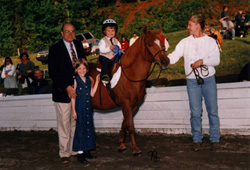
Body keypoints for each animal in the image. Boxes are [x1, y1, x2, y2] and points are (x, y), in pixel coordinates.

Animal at [90, 27, 170, 156]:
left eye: (162, 44)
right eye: (149, 44)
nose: (165, 61)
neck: (130, 75)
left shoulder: (133, 105)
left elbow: (125, 124)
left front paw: (121, 145)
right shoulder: (126, 104)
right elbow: (131, 126)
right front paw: (135, 149)